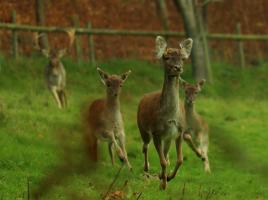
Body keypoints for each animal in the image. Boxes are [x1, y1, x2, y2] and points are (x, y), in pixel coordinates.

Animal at [137, 35, 204, 189]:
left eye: (183, 58)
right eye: (166, 57)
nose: (177, 68)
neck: (170, 117)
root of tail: (143, 98)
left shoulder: (179, 131)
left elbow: (179, 159)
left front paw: (168, 177)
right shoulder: (156, 131)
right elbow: (162, 161)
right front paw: (163, 184)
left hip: (167, 138)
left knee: (166, 155)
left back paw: (162, 174)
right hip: (143, 128)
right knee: (145, 146)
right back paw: (146, 168)